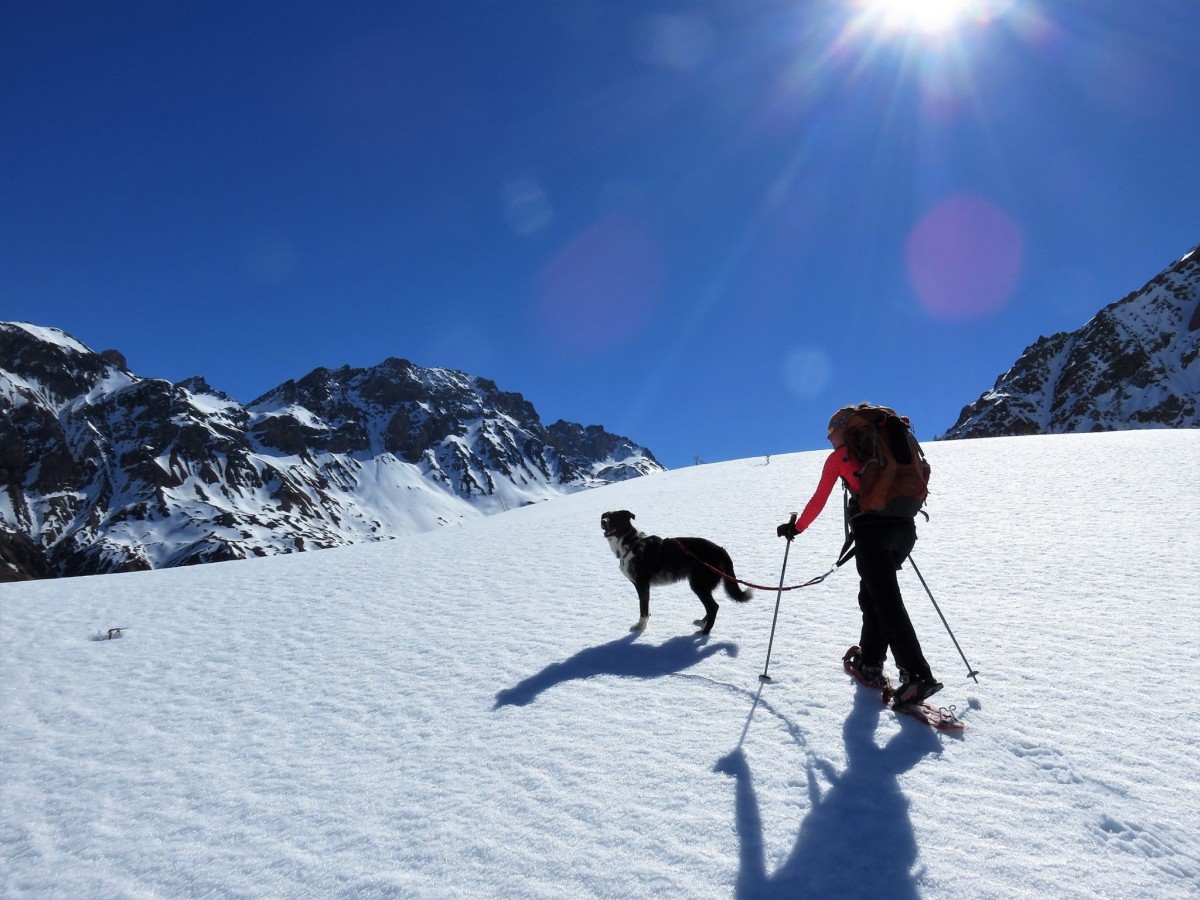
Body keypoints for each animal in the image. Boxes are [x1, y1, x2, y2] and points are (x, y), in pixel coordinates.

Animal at [600, 511, 748, 638]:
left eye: (616, 517)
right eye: (606, 516)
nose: (603, 521)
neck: (631, 543)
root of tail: (721, 550)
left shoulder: (642, 585)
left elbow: (643, 609)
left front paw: (640, 628)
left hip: (698, 584)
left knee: (713, 607)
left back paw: (704, 633)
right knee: (712, 606)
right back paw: (702, 623)